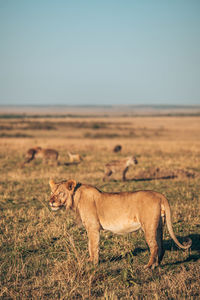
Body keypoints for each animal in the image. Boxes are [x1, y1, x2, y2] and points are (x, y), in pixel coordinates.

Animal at [48, 179, 192, 268]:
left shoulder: (93, 227)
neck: (76, 197)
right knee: (161, 245)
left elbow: (93, 246)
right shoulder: (90, 228)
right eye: (52, 193)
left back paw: (149, 266)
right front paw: (90, 260)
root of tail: (160, 195)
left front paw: (94, 263)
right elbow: (89, 245)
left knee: (154, 246)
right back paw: (157, 264)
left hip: (148, 226)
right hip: (159, 226)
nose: (51, 202)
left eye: (60, 193)